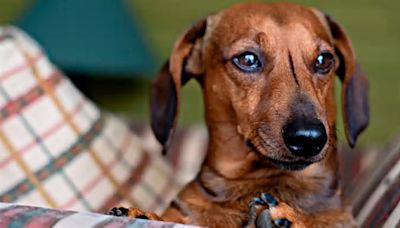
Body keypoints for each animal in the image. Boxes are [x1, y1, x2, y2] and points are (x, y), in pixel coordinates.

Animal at [112, 2, 368, 228]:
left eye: (324, 60)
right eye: (248, 59)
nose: (308, 138)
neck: (257, 182)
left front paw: (293, 218)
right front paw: (143, 214)